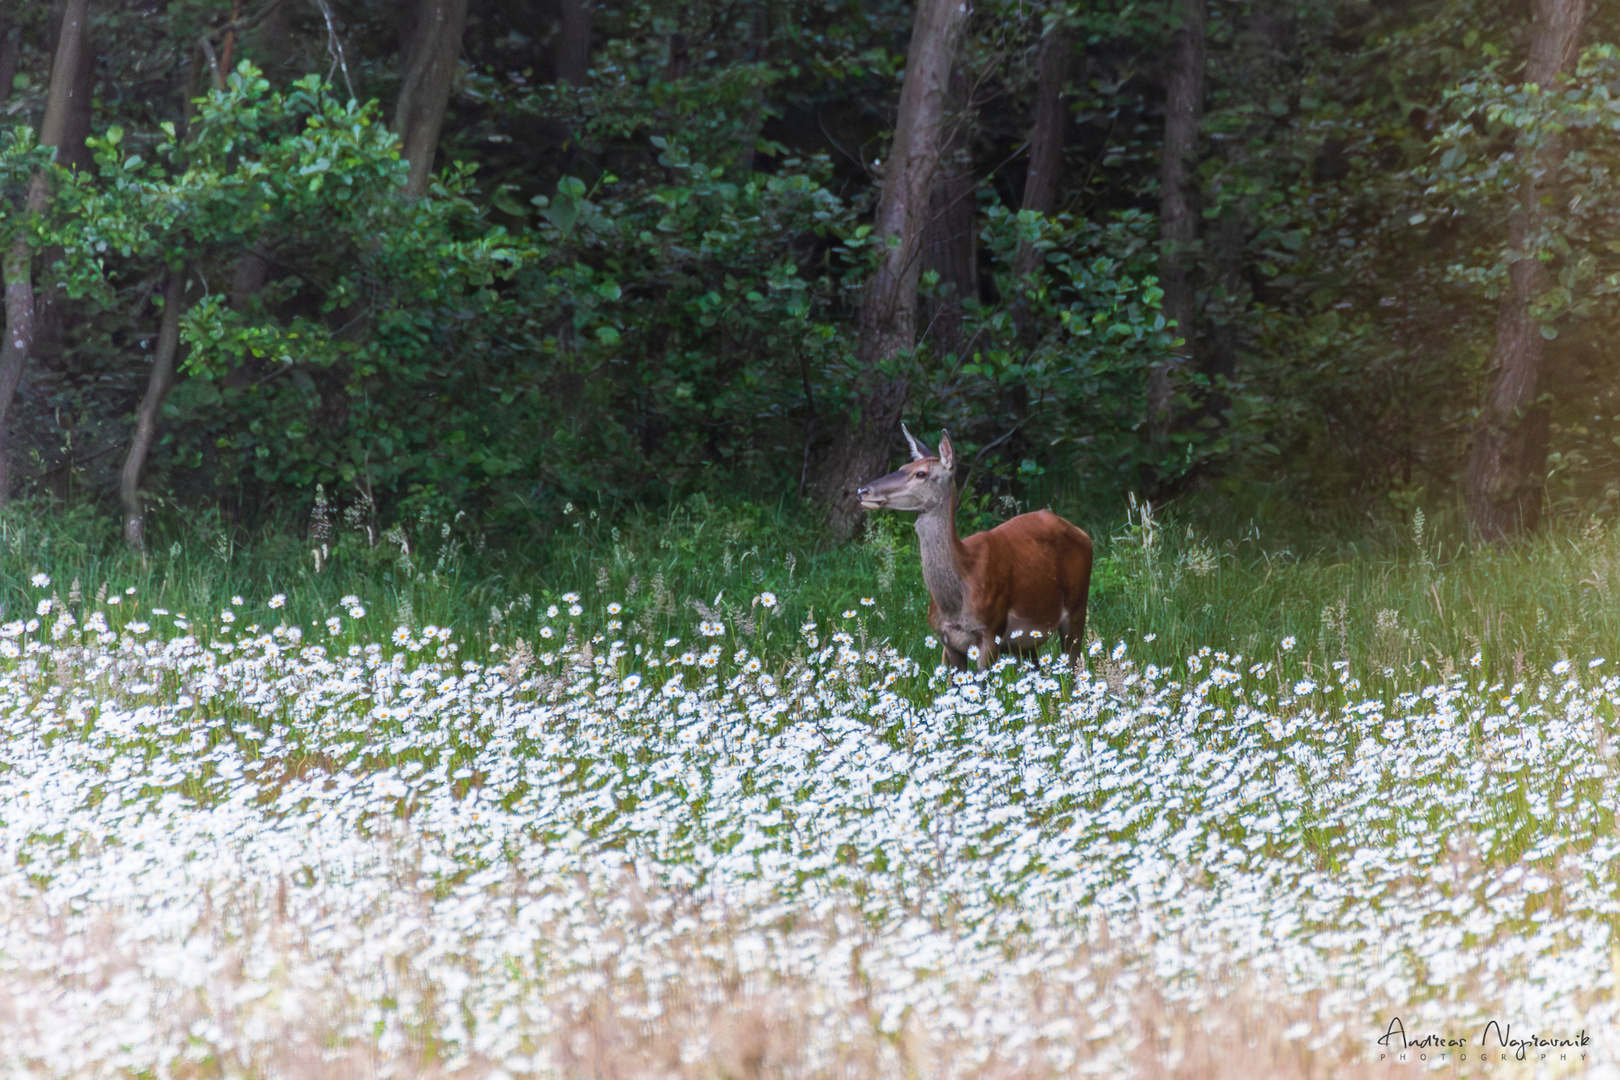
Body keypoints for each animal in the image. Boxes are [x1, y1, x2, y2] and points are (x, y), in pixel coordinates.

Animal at [855, 427, 1095, 670]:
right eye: (902, 467)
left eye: (920, 474)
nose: (862, 491)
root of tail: (1083, 533)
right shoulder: (947, 641)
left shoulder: (991, 631)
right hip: (1026, 640)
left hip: (1077, 607)